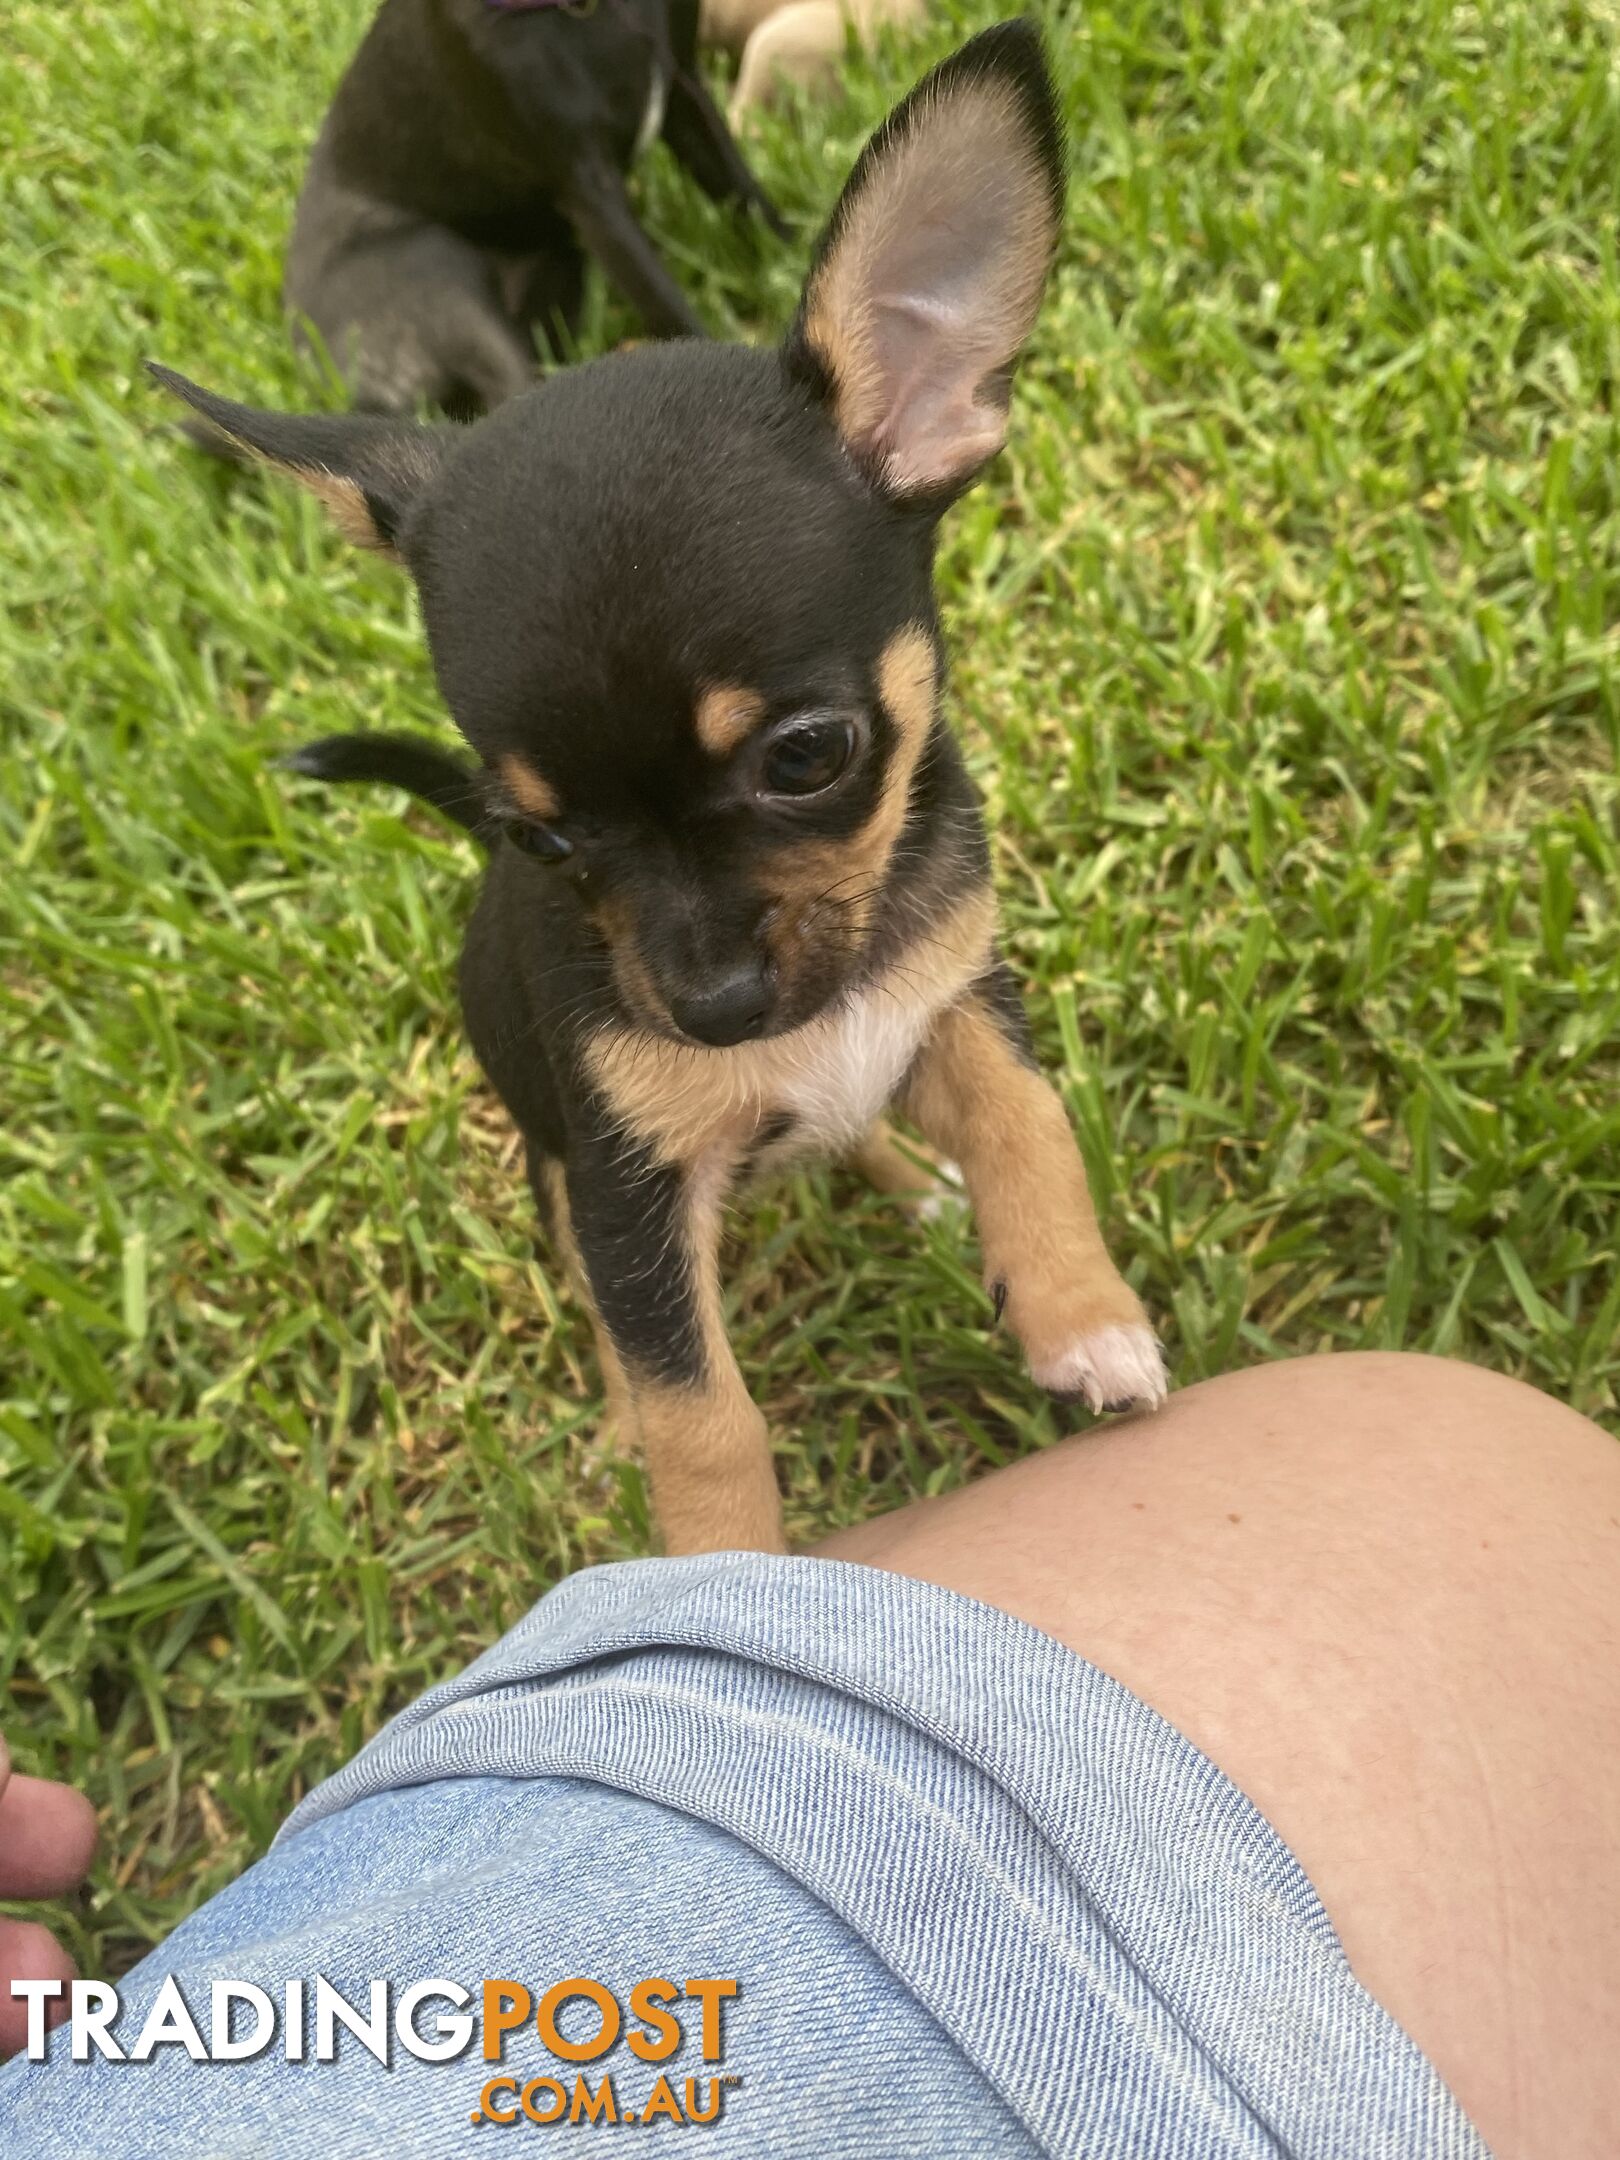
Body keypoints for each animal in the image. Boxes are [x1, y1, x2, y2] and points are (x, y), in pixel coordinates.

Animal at [293, 0, 794, 416]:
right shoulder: (591, 193)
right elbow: (674, 311)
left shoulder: (686, 94)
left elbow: (749, 201)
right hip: (435, 264)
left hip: (559, 281)